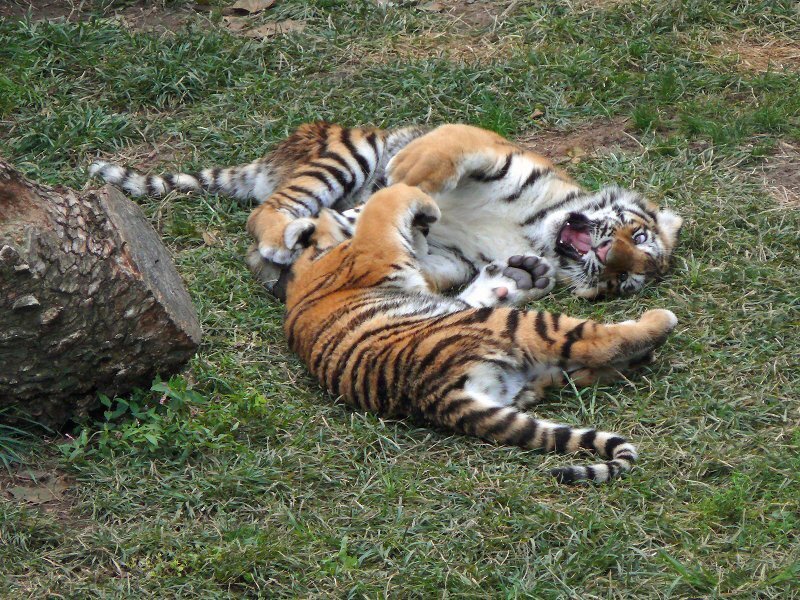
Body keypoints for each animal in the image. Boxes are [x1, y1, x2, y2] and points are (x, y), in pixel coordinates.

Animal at [89, 121, 682, 301]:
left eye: (623, 282)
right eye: (638, 236)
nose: (610, 257)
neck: (534, 232)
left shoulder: (452, 255)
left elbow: (423, 256)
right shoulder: (496, 153)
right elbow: (447, 151)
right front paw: (409, 170)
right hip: (347, 155)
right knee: (266, 213)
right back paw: (283, 238)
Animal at [281, 182, 679, 483]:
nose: (427, 225)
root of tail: (436, 396)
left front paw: (523, 274)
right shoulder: (375, 244)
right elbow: (387, 198)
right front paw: (423, 204)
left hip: (524, 374)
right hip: (516, 324)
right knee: (595, 342)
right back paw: (658, 322)